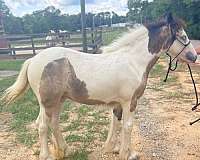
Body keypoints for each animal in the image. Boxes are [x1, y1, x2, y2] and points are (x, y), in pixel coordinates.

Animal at [0, 13, 197, 160]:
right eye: (183, 37)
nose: (194, 57)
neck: (133, 61)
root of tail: (33, 59)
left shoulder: (119, 104)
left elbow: (116, 123)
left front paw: (113, 149)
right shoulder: (130, 102)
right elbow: (128, 126)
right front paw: (127, 154)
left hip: (59, 101)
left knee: (54, 123)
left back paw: (64, 149)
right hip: (47, 102)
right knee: (42, 125)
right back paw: (46, 155)